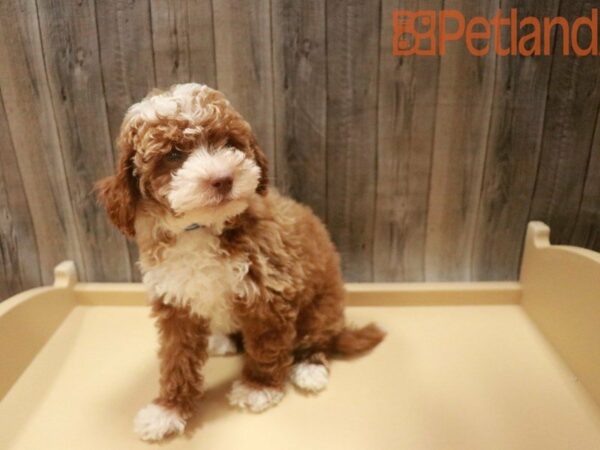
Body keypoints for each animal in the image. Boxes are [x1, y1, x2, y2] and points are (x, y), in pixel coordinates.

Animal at [96, 83, 382, 440]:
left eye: (229, 144)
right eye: (174, 154)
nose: (222, 178)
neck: (202, 228)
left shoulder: (269, 291)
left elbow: (266, 344)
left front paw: (259, 387)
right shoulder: (175, 302)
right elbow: (176, 358)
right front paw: (167, 410)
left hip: (323, 307)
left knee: (316, 337)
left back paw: (309, 367)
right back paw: (223, 339)